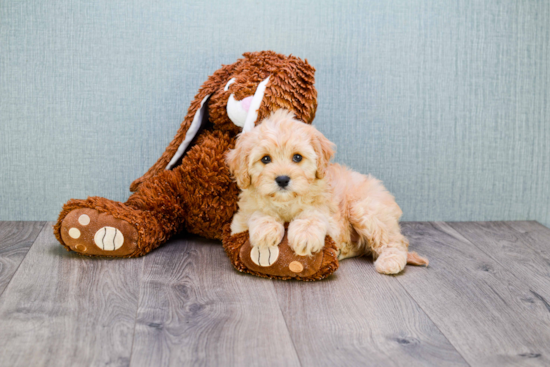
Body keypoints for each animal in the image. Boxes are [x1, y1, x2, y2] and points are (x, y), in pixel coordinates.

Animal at [226, 110, 430, 276]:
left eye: (297, 157)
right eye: (265, 159)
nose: (283, 179)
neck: (287, 203)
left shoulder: (333, 221)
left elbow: (313, 215)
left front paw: (305, 235)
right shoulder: (238, 222)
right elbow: (258, 213)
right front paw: (265, 229)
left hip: (365, 209)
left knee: (396, 242)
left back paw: (389, 261)